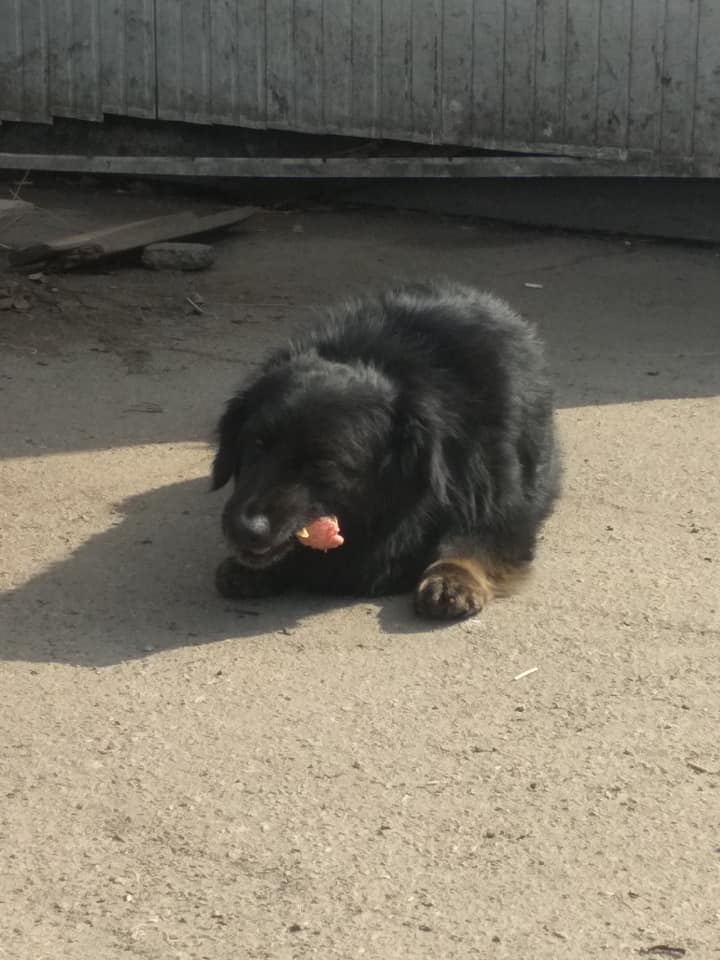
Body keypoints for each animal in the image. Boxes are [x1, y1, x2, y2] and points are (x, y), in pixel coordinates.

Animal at [211, 282, 560, 620]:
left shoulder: (502, 503)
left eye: (323, 463)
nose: (245, 530)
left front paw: (453, 576)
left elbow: (475, 539)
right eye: (256, 444)